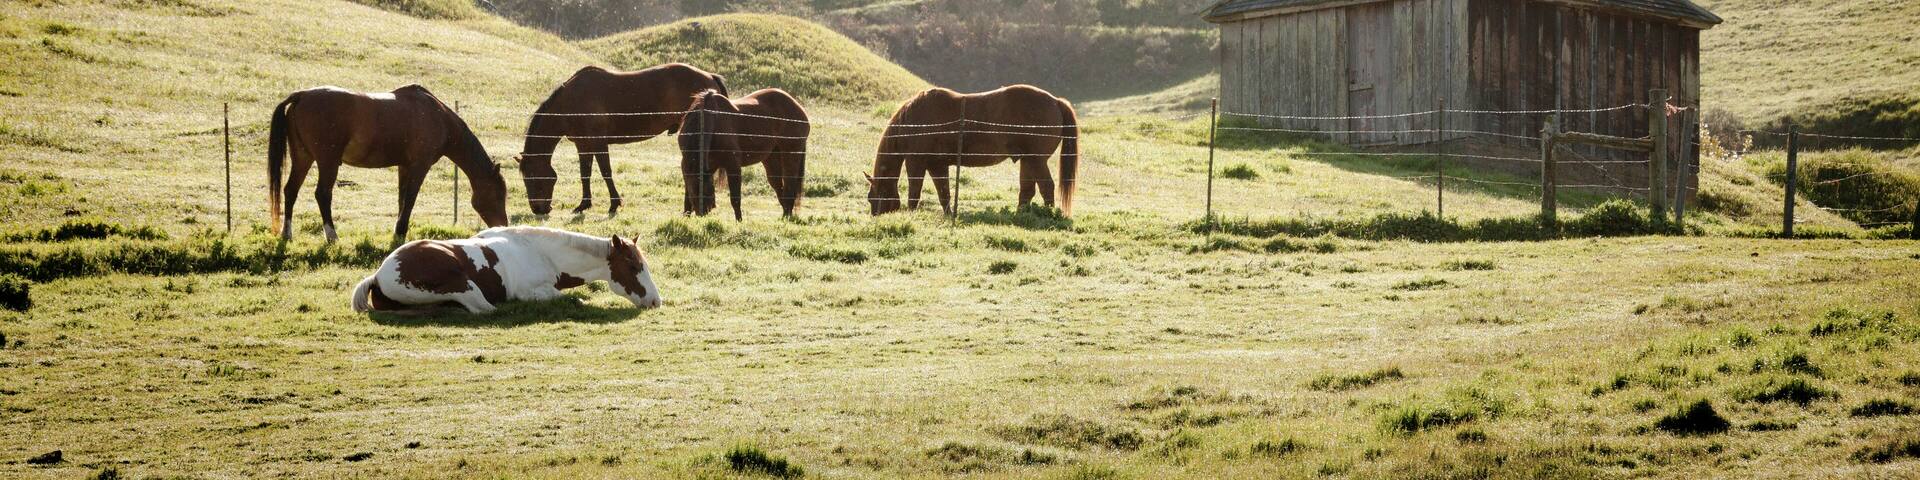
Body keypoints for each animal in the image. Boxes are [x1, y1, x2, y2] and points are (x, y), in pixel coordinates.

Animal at [269, 85, 510, 244]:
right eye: (499, 196)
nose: (503, 226)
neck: (439, 117)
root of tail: (301, 96)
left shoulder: (404, 167)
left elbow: (401, 200)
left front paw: (398, 232)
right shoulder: (419, 167)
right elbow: (410, 200)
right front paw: (400, 232)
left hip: (303, 158)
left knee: (290, 191)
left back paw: (287, 234)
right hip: (328, 162)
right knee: (322, 194)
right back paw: (332, 236)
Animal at [351, 226, 662, 314]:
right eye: (634, 266)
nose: (656, 300)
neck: (540, 253)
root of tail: (378, 275)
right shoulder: (533, 292)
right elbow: (573, 299)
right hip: (464, 287)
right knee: (482, 309)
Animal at [518, 64, 729, 218]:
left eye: (533, 178)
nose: (538, 209)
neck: (571, 102)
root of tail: (710, 77)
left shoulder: (598, 143)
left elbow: (606, 172)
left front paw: (614, 204)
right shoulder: (583, 144)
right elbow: (585, 174)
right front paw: (583, 205)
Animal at [676, 89, 810, 220]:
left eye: (705, 188)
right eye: (694, 188)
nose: (703, 212)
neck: (712, 124)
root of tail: (798, 107)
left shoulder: (733, 165)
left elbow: (735, 198)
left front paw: (739, 221)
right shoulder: (699, 166)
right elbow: (686, 197)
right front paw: (686, 217)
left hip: (790, 154)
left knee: (789, 185)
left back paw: (787, 216)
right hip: (771, 158)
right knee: (779, 187)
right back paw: (785, 214)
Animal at [865, 85, 1079, 216]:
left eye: (871, 197)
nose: (875, 215)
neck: (914, 122)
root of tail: (1056, 101)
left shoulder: (916, 163)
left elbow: (914, 192)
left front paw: (911, 214)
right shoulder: (937, 165)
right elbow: (944, 192)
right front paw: (948, 215)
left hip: (1036, 160)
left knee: (1046, 187)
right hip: (1028, 161)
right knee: (1027, 190)